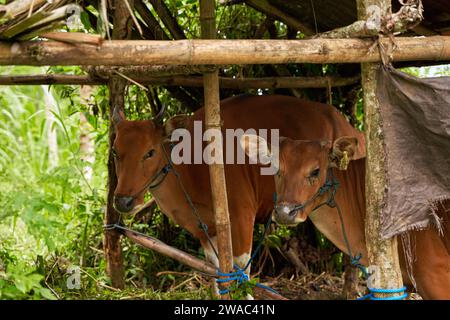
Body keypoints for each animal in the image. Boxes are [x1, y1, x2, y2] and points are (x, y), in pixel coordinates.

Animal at [110, 95, 370, 296]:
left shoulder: (242, 214)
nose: (123, 201)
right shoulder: (205, 228)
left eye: (150, 152)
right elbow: (216, 270)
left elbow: (241, 269)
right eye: (114, 152)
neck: (194, 165)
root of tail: (353, 131)